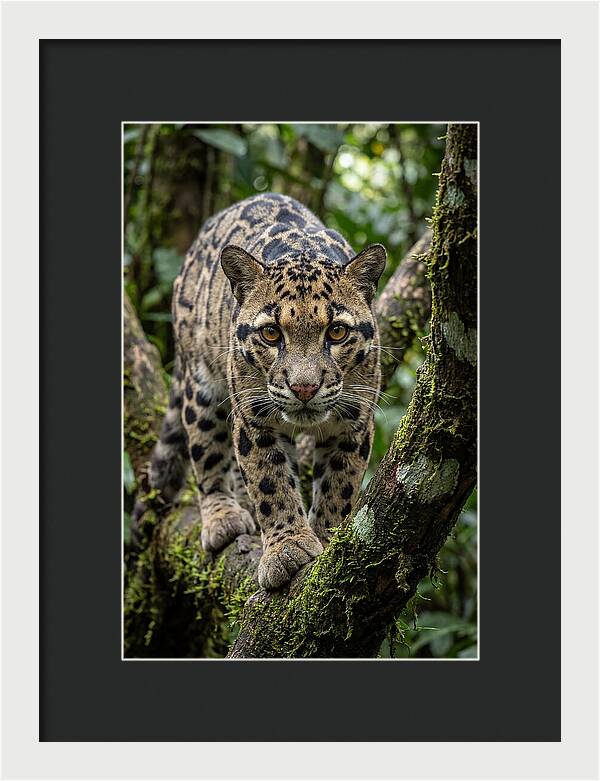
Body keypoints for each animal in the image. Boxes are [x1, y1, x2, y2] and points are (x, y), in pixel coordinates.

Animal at [149, 192, 386, 590]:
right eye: (271, 333)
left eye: (337, 332)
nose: (304, 387)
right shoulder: (254, 418)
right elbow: (270, 482)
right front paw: (287, 548)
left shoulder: (354, 421)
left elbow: (339, 485)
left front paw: (327, 539)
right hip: (201, 384)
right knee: (206, 451)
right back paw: (223, 516)